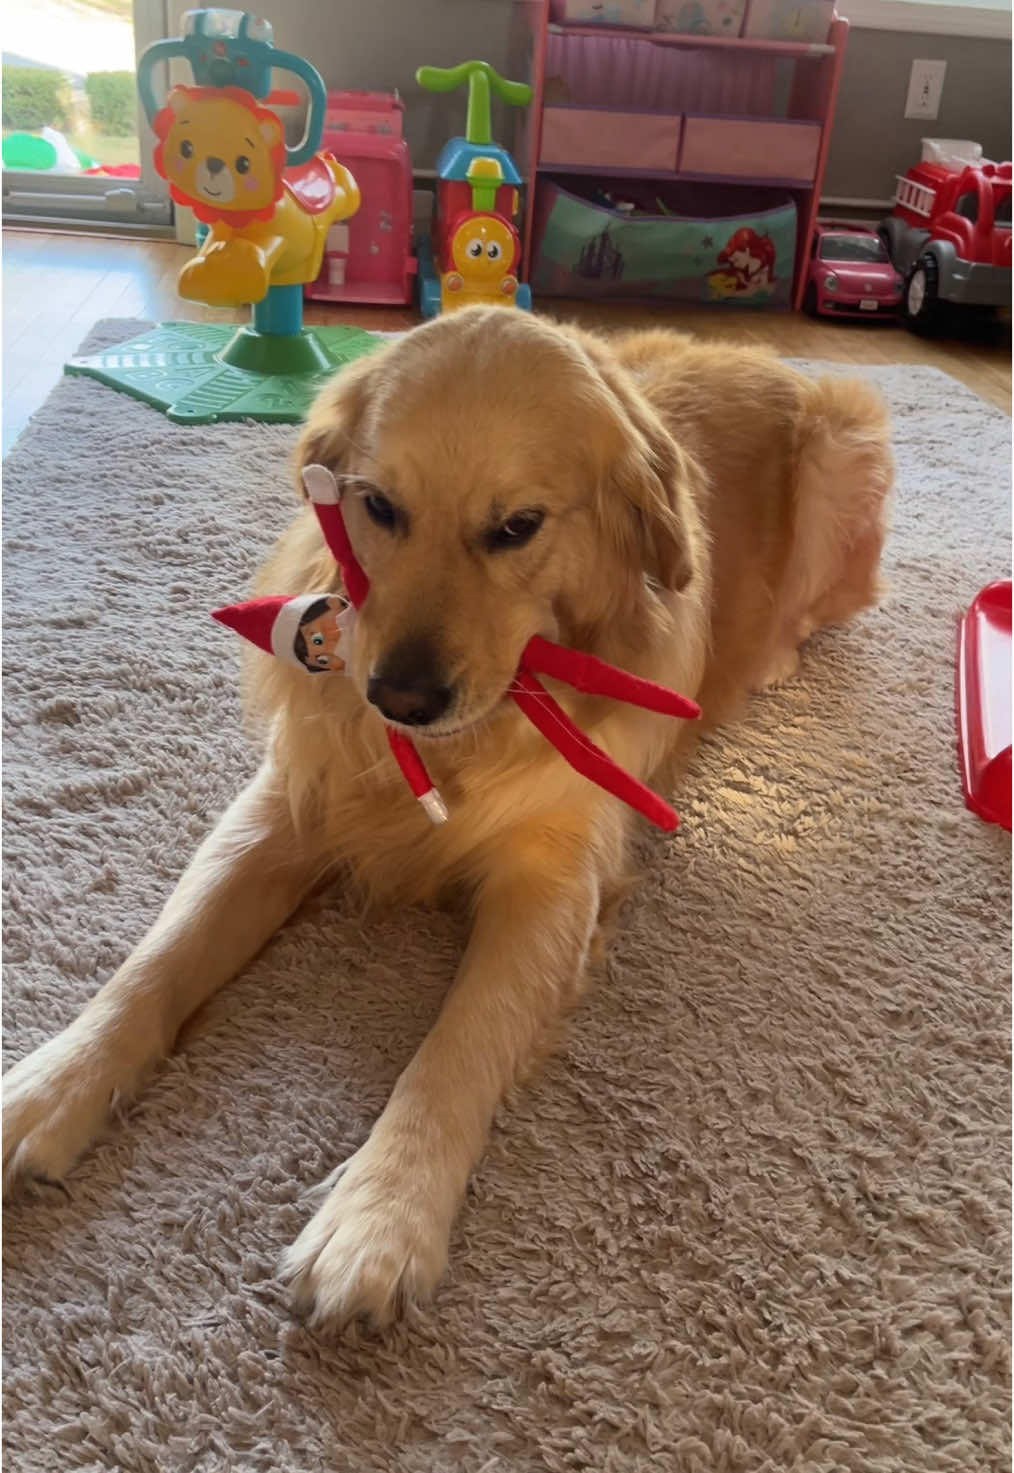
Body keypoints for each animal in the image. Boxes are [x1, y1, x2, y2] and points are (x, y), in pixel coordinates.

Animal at [0, 310, 890, 1337]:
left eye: (517, 528)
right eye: (379, 506)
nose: (400, 697)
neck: (471, 739)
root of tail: (765, 357)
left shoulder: (550, 880)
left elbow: (458, 1045)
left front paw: (380, 1216)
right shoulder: (284, 805)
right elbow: (156, 959)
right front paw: (49, 1085)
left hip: (845, 452)